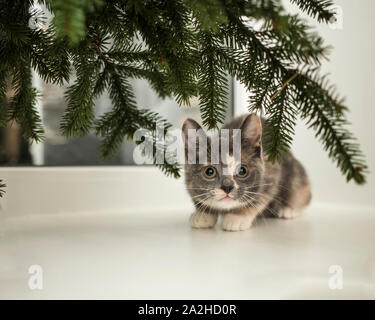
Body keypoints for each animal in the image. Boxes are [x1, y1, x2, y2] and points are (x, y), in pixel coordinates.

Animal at [182, 114, 312, 231]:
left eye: (242, 170)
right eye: (209, 171)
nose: (227, 187)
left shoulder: (272, 173)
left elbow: (260, 198)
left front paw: (238, 216)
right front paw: (203, 213)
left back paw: (289, 209)